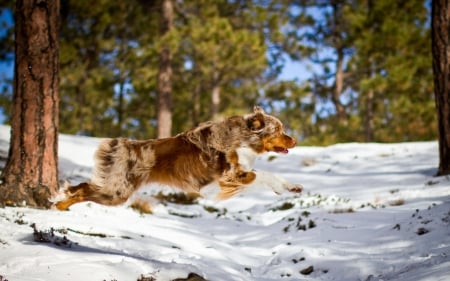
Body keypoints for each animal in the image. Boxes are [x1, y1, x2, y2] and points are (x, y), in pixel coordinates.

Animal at [54, 106, 304, 209]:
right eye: (278, 129)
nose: (295, 141)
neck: (244, 139)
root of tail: (123, 144)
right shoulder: (230, 176)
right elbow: (264, 174)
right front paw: (281, 187)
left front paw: (292, 187)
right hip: (118, 191)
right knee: (85, 190)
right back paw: (60, 205)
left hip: (114, 187)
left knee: (83, 185)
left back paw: (60, 200)